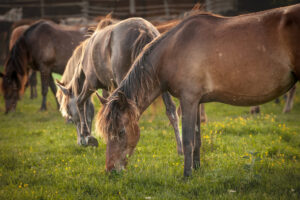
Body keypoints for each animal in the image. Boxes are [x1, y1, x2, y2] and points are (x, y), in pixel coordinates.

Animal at [56, 17, 183, 154]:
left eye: (69, 113)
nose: (80, 142)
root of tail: (144, 30)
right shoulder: (108, 88)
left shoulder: (90, 84)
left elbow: (80, 102)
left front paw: (88, 137)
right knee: (171, 110)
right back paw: (180, 148)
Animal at [97, 4, 300, 177]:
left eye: (121, 132)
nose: (110, 170)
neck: (174, 48)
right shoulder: (196, 101)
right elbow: (197, 139)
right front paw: (197, 169)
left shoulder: (188, 100)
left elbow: (188, 140)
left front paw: (187, 175)